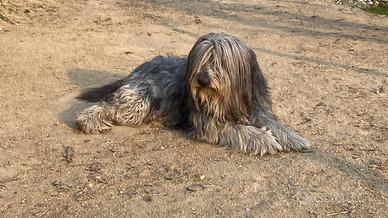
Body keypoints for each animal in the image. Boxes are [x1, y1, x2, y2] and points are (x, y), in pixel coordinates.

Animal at [76, 31, 312, 155]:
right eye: (203, 59)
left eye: (220, 62)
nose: (203, 80)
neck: (229, 99)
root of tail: (138, 68)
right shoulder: (209, 123)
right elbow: (239, 130)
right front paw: (264, 138)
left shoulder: (257, 107)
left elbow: (276, 124)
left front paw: (294, 138)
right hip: (139, 101)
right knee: (109, 106)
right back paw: (87, 120)